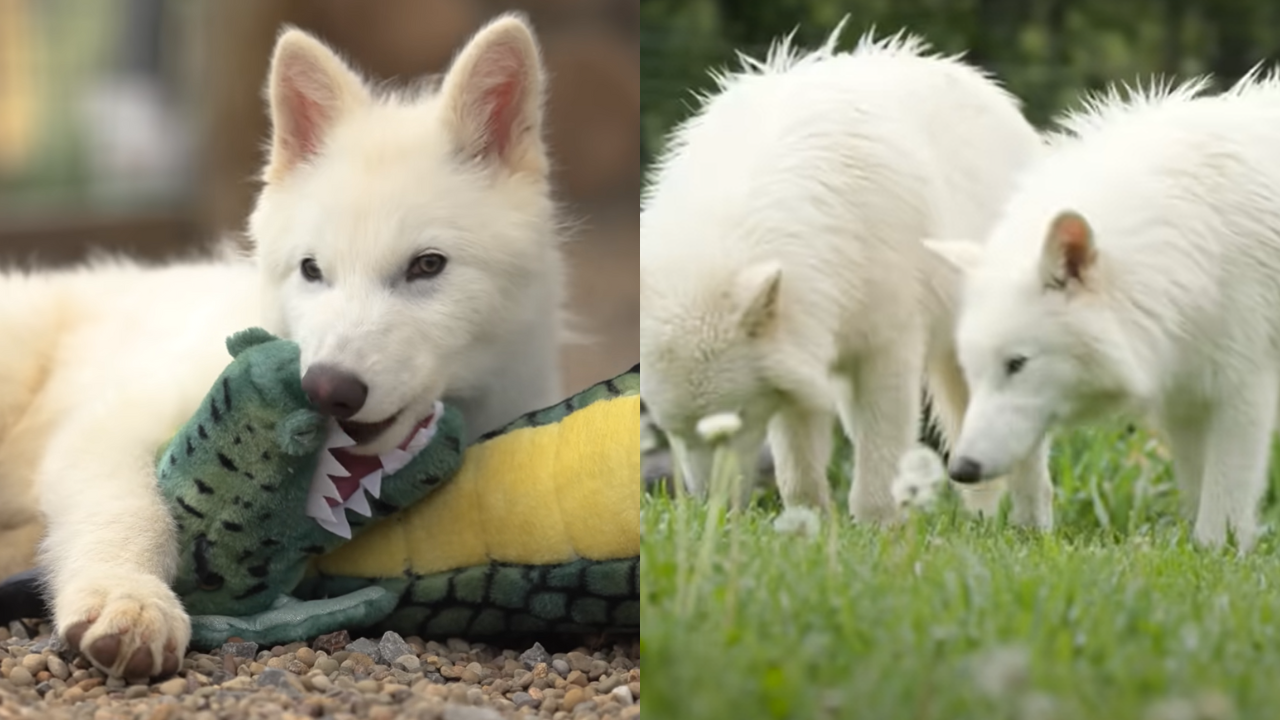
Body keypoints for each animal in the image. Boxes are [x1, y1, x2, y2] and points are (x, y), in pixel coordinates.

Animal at [0, 13, 567, 678]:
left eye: (428, 266)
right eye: (311, 270)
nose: (327, 389)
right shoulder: (107, 427)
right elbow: (132, 509)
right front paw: (129, 597)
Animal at [639, 22, 1044, 522]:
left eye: (734, 423)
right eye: (672, 431)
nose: (713, 511)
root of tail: (986, 84)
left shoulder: (887, 348)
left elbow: (881, 454)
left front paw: (878, 525)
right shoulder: (802, 357)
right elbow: (798, 468)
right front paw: (807, 522)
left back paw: (1027, 526)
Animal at [929, 69, 1280, 549]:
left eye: (1017, 364)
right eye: (973, 372)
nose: (962, 470)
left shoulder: (1242, 393)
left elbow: (1221, 507)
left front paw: (1219, 553)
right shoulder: (1187, 399)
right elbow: (1198, 491)